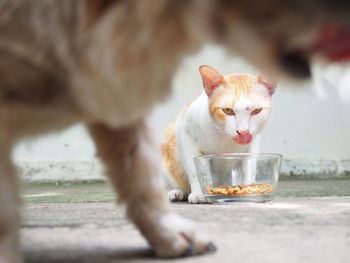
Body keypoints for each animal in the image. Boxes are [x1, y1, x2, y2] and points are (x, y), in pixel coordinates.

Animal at [162, 65, 276, 204]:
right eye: (227, 110)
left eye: (256, 111)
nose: (243, 132)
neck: (224, 137)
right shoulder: (185, 132)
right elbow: (195, 170)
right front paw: (198, 193)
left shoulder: (252, 145)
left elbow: (249, 168)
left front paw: (249, 190)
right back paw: (175, 192)